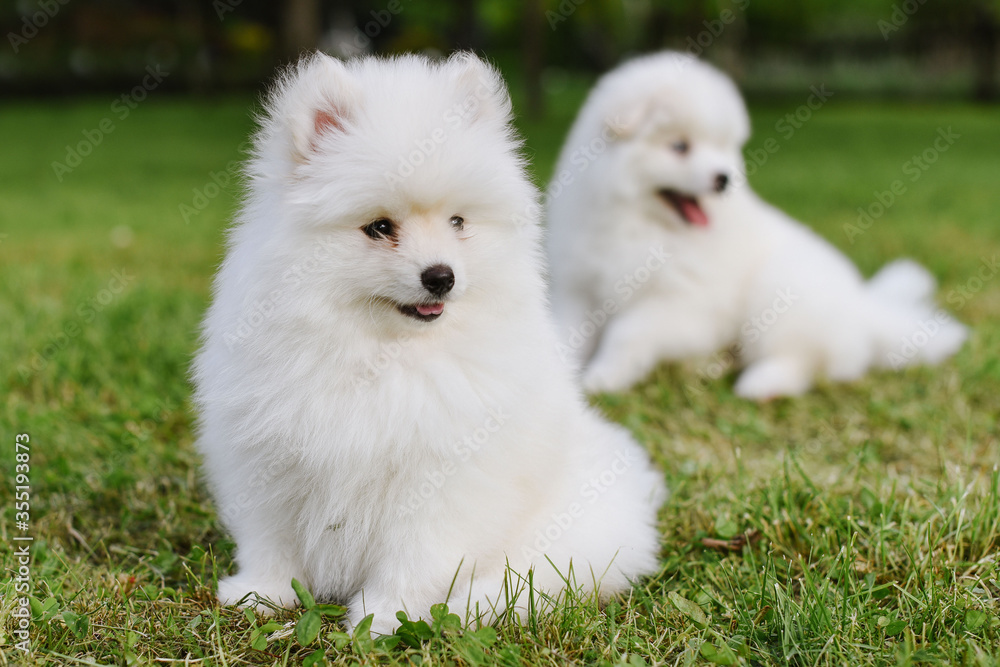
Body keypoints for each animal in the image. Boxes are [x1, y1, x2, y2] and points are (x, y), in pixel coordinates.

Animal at [192, 52, 668, 636]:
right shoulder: (267, 460)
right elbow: (271, 541)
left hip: (561, 540)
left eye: (458, 221)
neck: (381, 354)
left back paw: (469, 607)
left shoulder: (438, 485)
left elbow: (412, 560)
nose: (441, 276)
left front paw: (382, 619)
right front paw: (261, 594)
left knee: (525, 583)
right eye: (379, 227)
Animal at [548, 52, 968, 400]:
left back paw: (761, 382)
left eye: (722, 146)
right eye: (680, 146)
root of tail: (862, 308)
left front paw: (603, 378)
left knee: (803, 360)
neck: (640, 223)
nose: (723, 178)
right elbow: (568, 332)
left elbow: (627, 331)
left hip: (780, 291)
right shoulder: (579, 287)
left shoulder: (686, 305)